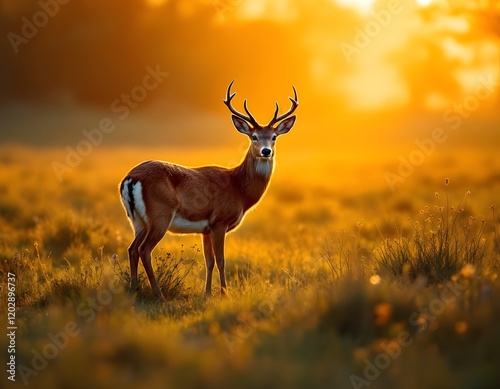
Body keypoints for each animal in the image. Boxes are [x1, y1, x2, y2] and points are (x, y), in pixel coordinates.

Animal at [119, 81, 298, 300]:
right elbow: (221, 260)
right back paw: (159, 295)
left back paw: (133, 289)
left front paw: (207, 293)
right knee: (144, 250)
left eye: (274, 137)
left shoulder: (205, 229)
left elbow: (209, 261)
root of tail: (130, 178)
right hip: (159, 215)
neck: (239, 188)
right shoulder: (219, 221)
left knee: (132, 249)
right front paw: (224, 293)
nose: (266, 151)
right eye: (254, 136)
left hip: (138, 221)